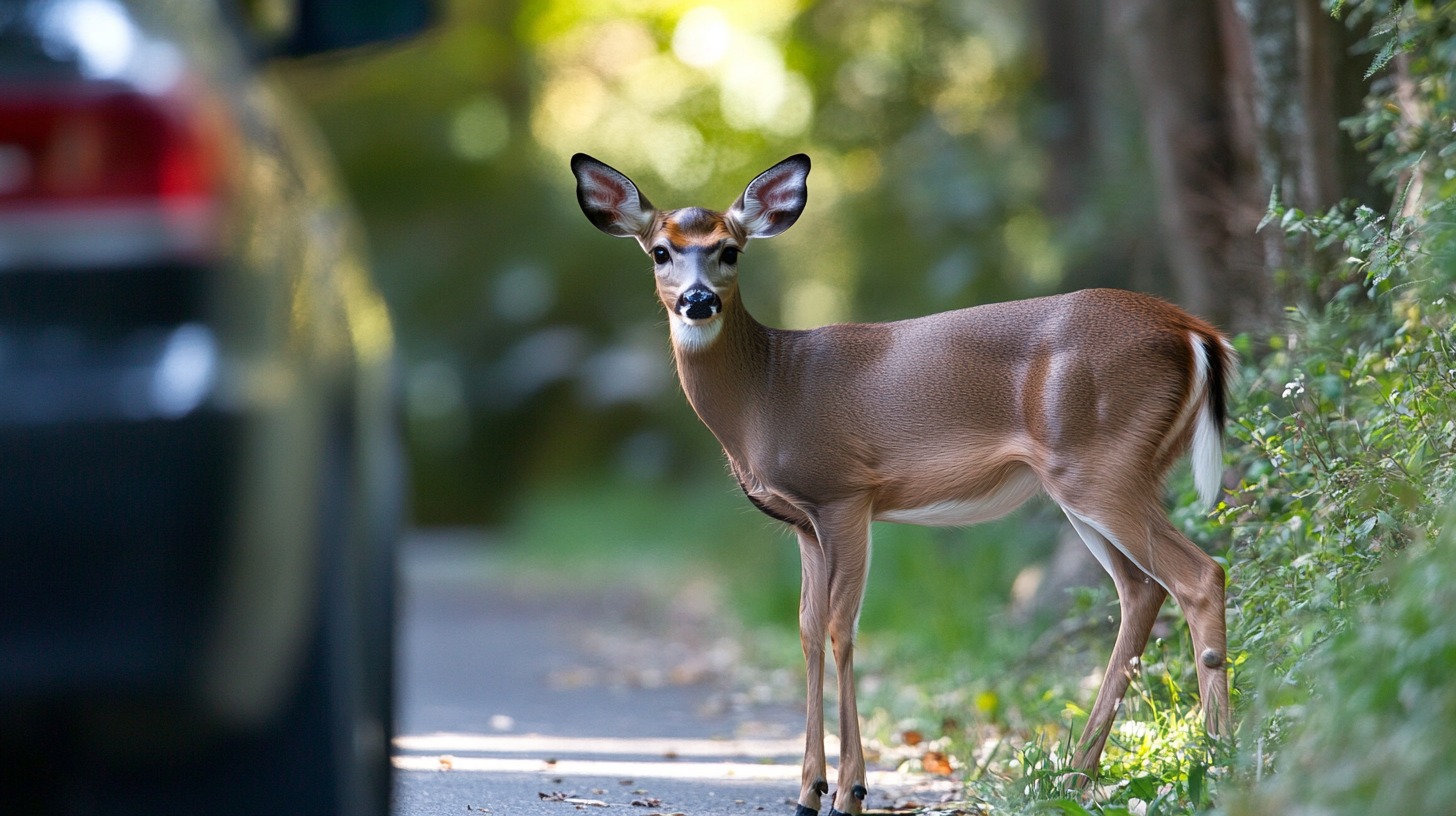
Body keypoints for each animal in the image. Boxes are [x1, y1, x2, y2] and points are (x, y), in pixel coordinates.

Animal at [573, 150, 1234, 810]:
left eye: (729, 250)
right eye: (661, 251)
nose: (698, 300)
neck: (767, 392)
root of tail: (1196, 332)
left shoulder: (846, 492)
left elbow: (841, 626)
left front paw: (850, 788)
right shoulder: (804, 523)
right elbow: (806, 628)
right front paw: (808, 789)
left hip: (1102, 462)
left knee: (1200, 574)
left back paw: (1219, 760)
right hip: (1090, 478)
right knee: (1141, 589)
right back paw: (1076, 776)